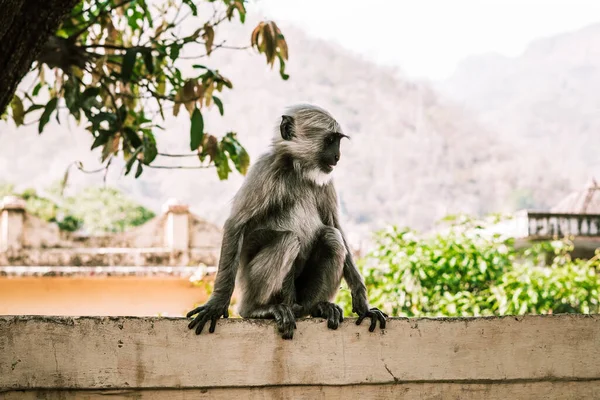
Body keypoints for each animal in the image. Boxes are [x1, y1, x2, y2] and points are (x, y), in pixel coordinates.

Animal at [185, 104, 386, 340]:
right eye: (330, 140)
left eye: (338, 141)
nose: (337, 155)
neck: (299, 169)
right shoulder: (266, 168)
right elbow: (237, 224)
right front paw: (216, 304)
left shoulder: (327, 181)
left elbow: (336, 227)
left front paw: (363, 305)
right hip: (252, 285)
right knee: (288, 240)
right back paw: (258, 310)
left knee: (332, 237)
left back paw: (317, 307)